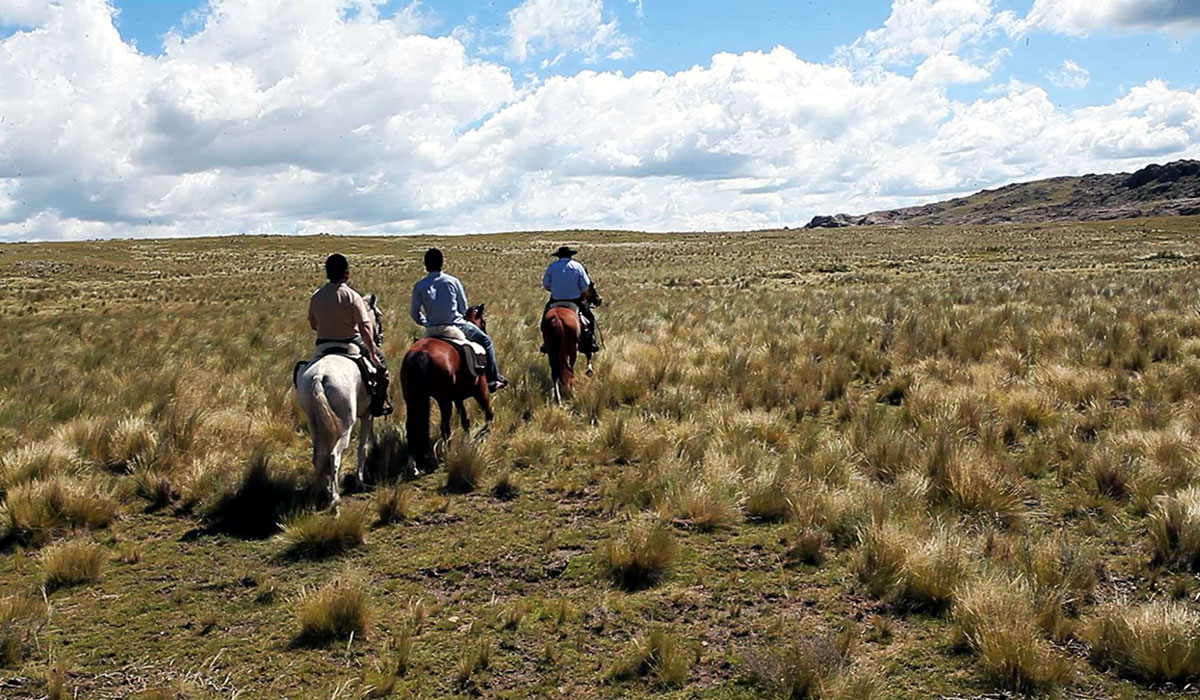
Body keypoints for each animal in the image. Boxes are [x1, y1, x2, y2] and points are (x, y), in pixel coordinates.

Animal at [292, 294, 381, 509]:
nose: (379, 337)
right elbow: (362, 448)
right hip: (346, 424)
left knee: (319, 455)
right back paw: (334, 498)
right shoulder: (368, 414)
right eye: (378, 314)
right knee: (334, 455)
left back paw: (322, 490)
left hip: (314, 422)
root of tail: (319, 376)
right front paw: (360, 481)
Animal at [403, 304, 492, 470]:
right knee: (445, 427)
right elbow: (488, 414)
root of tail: (421, 353)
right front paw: (484, 434)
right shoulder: (480, 390)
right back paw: (447, 453)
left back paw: (413, 463)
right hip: (444, 400)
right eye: (483, 322)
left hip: (411, 399)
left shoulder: (457, 397)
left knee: (411, 426)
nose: (485, 332)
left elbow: (465, 419)